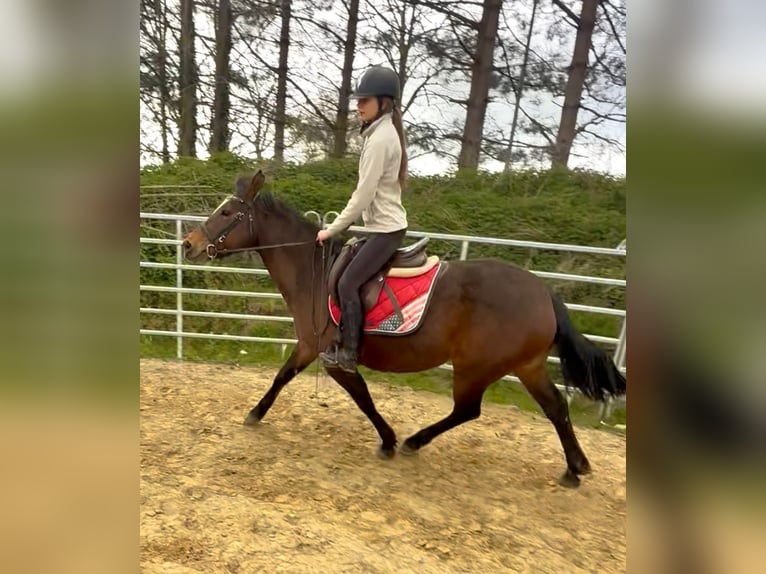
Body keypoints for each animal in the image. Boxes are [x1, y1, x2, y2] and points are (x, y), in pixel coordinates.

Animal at [181, 171, 626, 487]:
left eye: (227, 213)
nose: (189, 244)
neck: (315, 272)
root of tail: (542, 292)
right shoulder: (310, 348)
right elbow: (286, 377)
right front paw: (256, 413)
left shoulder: (329, 354)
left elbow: (358, 398)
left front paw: (389, 441)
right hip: (526, 366)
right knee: (555, 407)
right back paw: (574, 468)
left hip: (476, 367)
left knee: (469, 409)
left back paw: (415, 441)